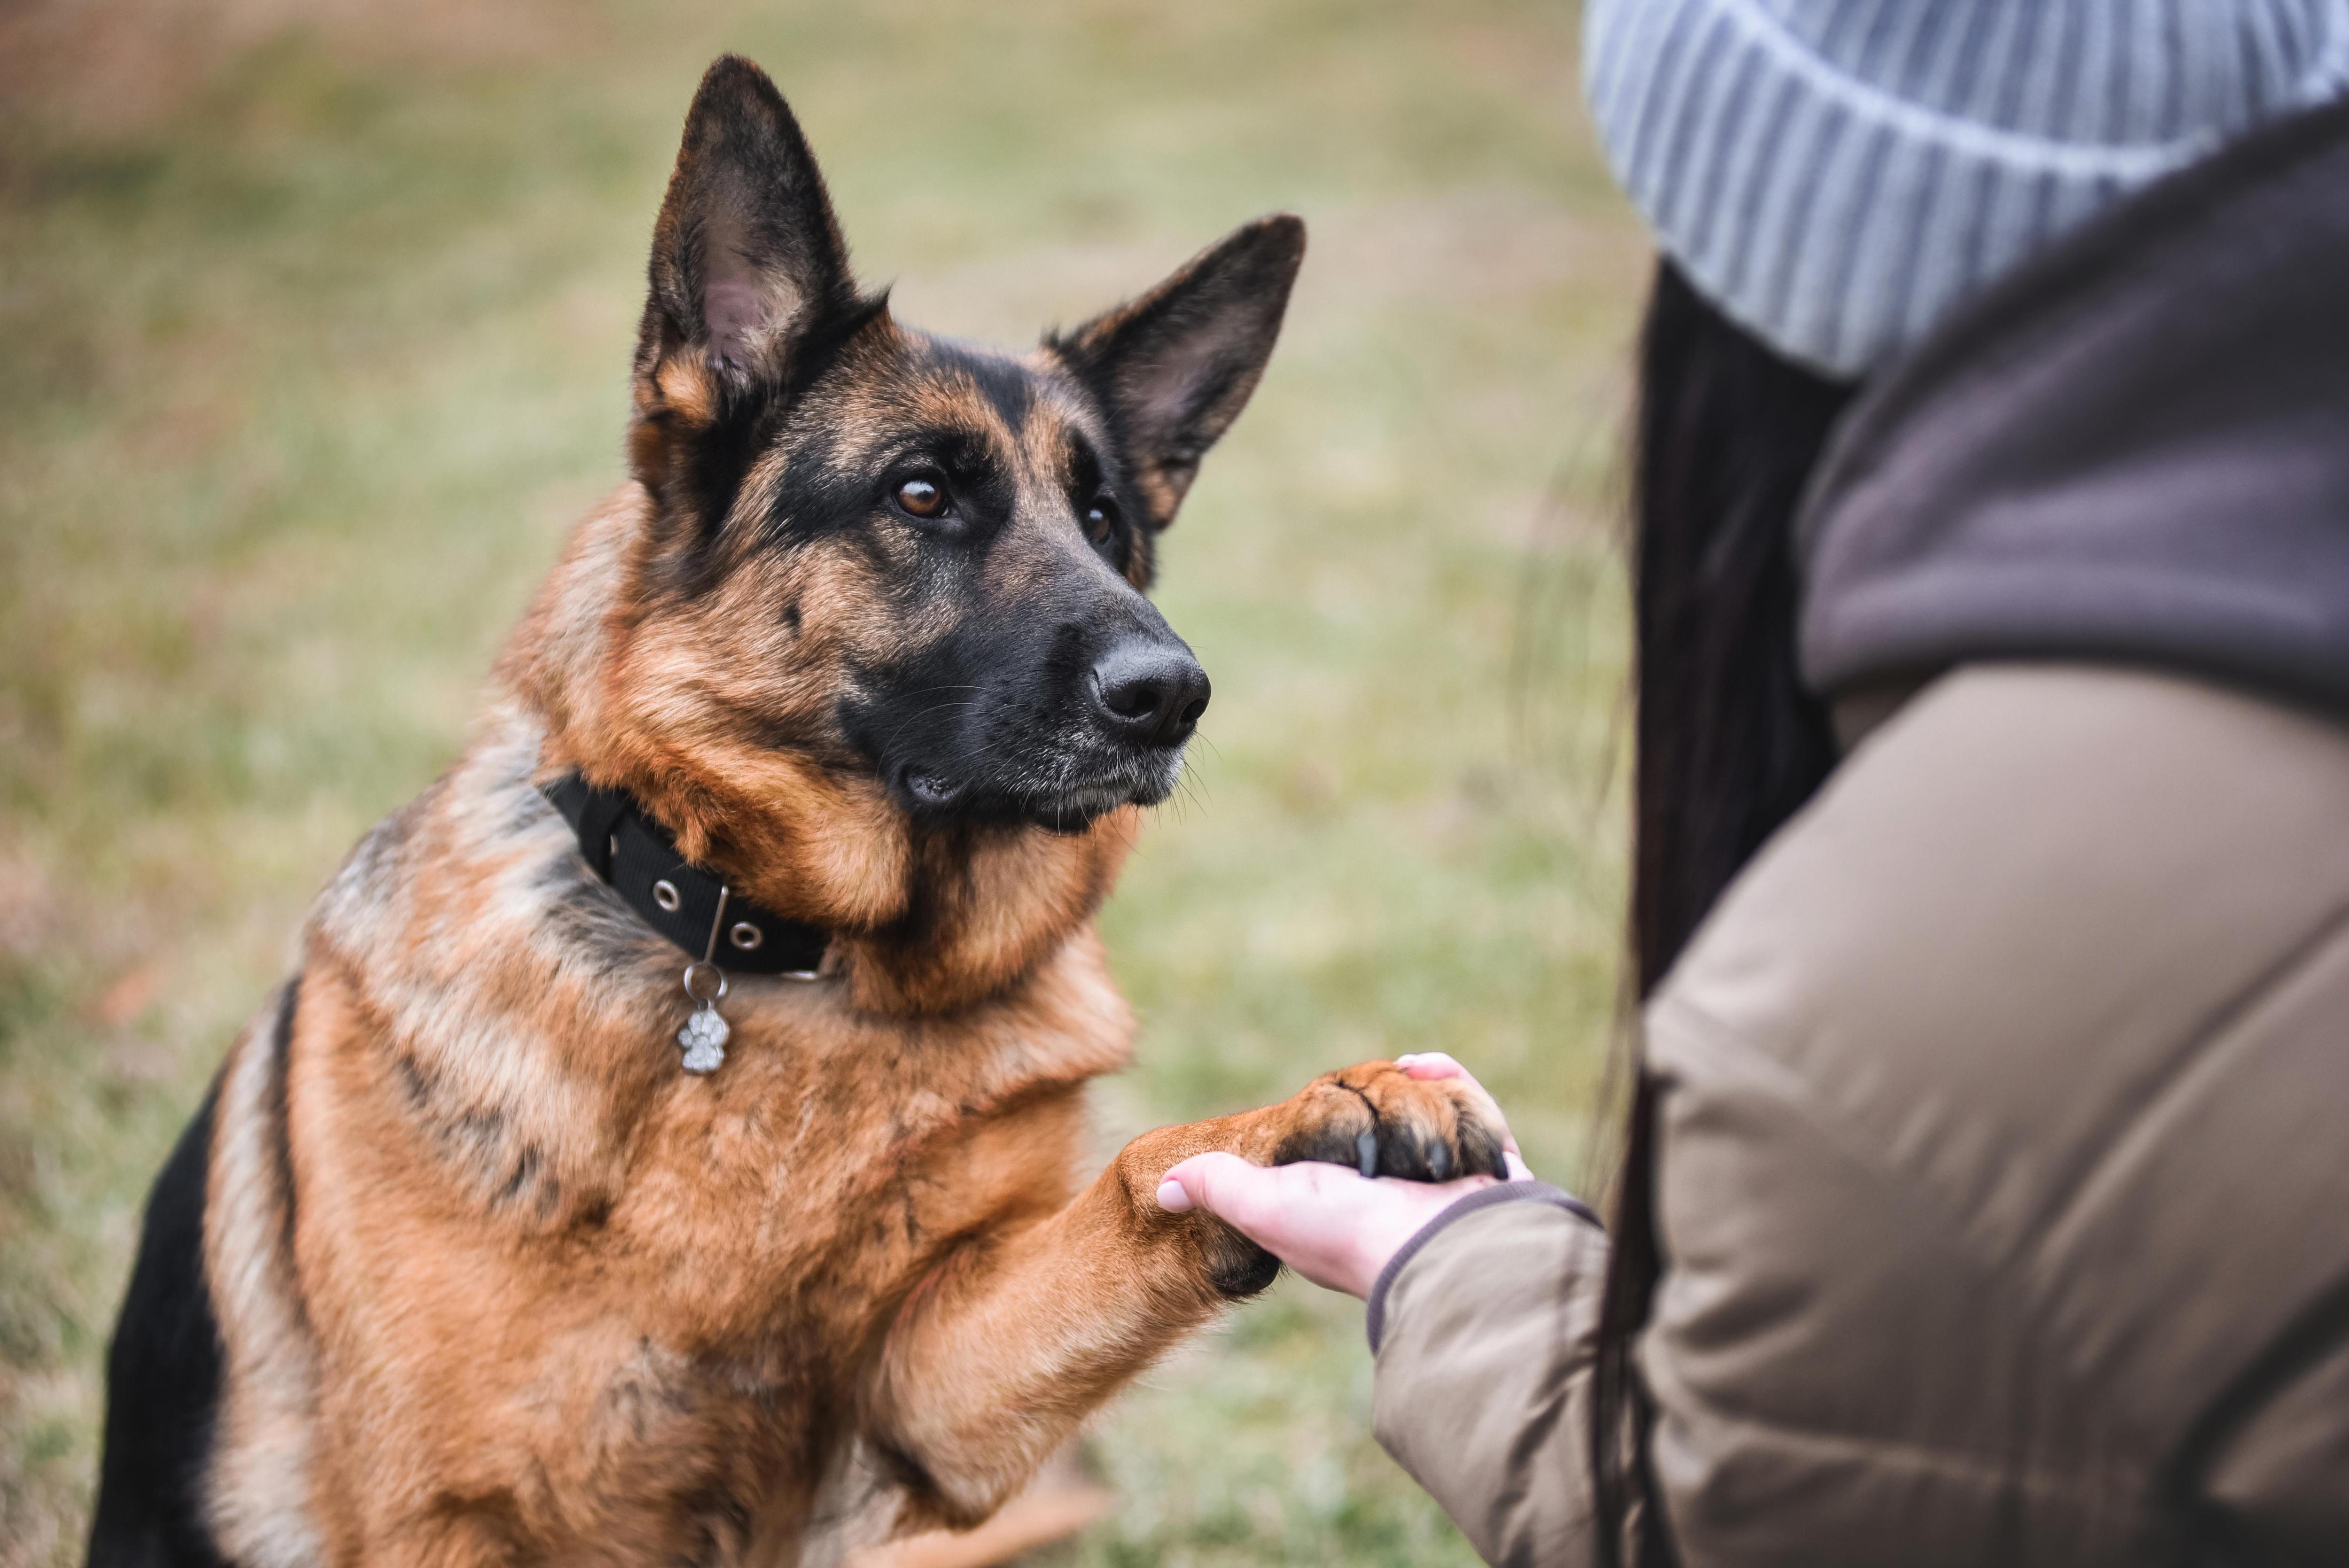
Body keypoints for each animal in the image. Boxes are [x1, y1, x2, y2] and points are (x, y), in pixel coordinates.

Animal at [87, 55, 1503, 1559]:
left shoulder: (926, 1382)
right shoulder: (444, 1510)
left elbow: (1138, 1177)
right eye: (922, 492)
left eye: (1106, 520)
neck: (777, 962)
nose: (1173, 693)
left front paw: (1305, 1113)